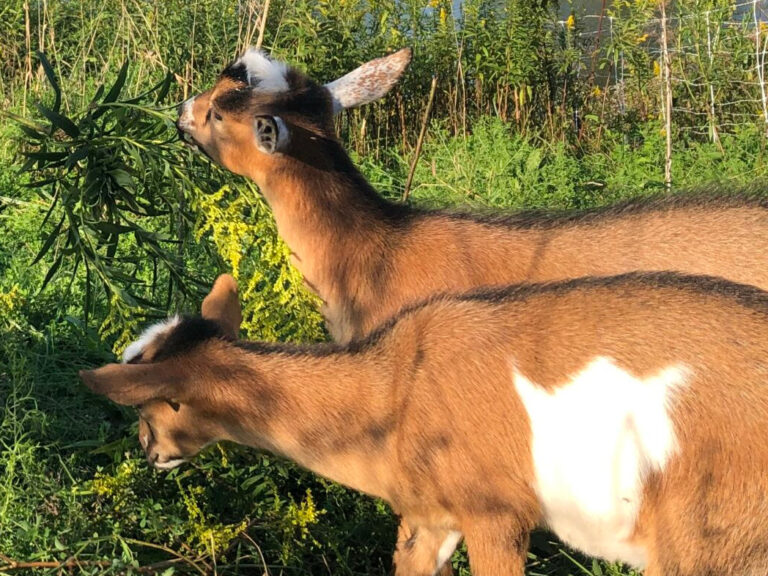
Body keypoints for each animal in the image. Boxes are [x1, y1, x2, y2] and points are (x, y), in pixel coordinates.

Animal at [83, 273, 768, 576]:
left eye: (150, 406)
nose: (148, 451)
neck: (394, 392)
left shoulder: (496, 516)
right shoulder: (428, 517)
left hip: (704, 538)